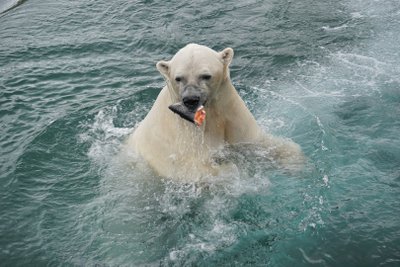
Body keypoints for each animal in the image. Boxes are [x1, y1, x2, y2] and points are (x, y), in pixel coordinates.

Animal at [128, 44, 304, 182]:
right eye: (178, 78)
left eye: (206, 76)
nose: (190, 99)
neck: (211, 112)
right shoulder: (182, 136)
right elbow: (195, 168)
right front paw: (232, 171)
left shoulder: (232, 112)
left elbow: (262, 142)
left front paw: (297, 163)